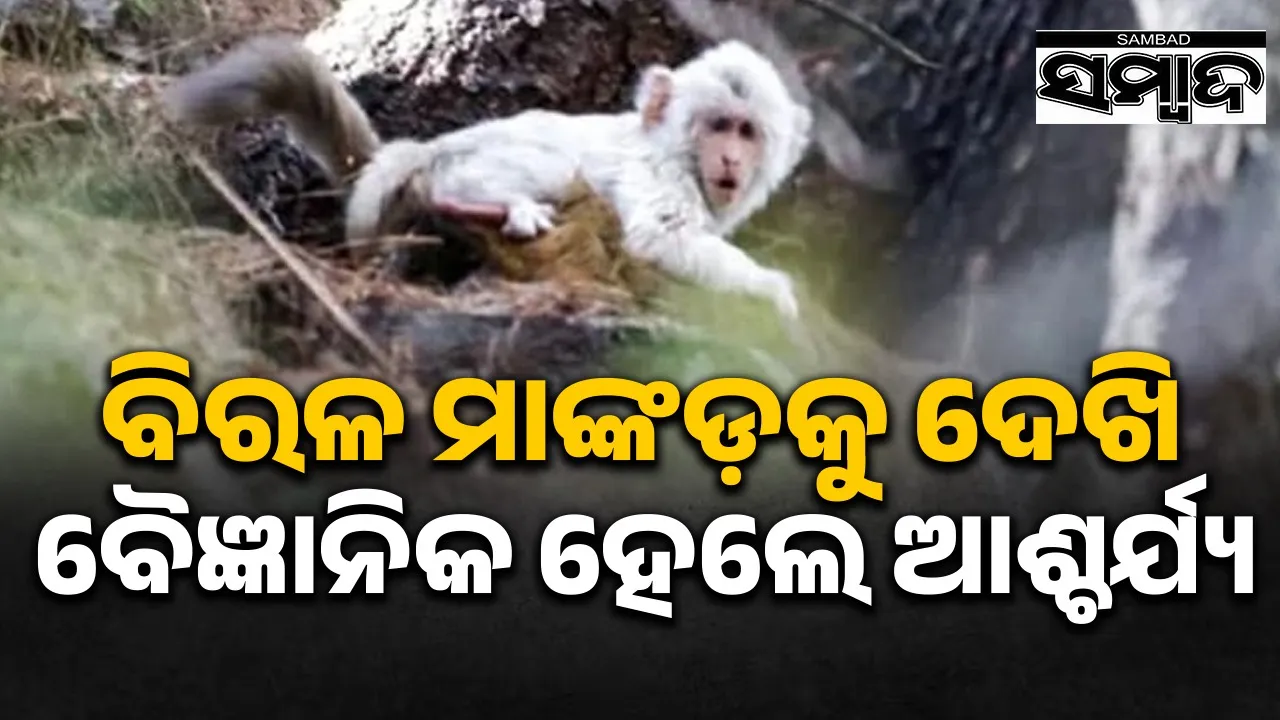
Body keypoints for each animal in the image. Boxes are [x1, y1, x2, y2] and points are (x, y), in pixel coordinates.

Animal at [165, 34, 813, 320]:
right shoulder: (659, 173)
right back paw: (486, 205)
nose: (730, 161)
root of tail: (429, 150)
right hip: (465, 165)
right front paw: (773, 289)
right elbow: (660, 235)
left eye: (748, 132)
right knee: (547, 169)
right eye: (718, 126)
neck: (671, 149)